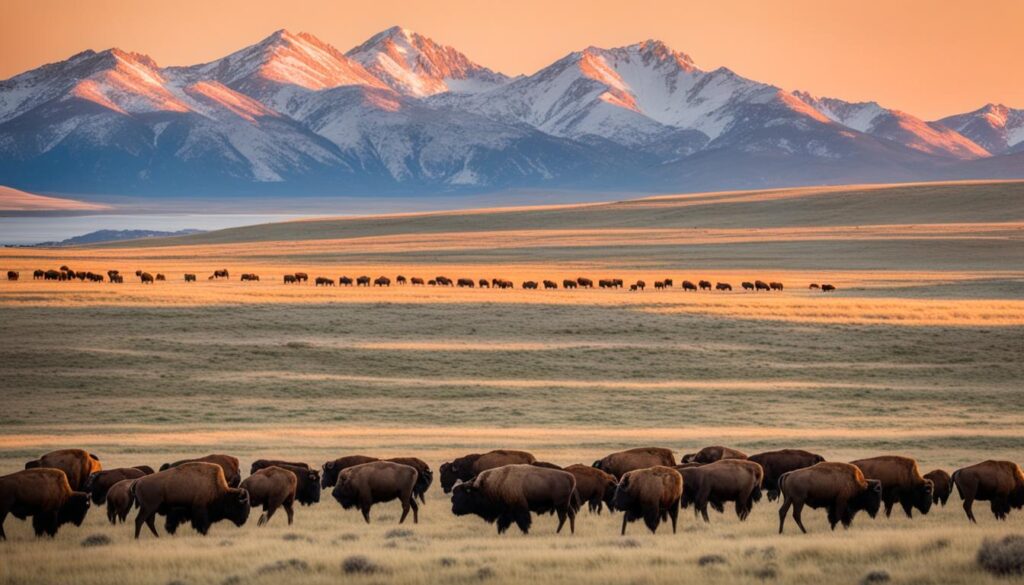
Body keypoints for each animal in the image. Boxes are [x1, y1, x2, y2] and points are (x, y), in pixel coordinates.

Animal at [452, 463, 581, 536]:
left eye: (462, 494)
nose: (453, 509)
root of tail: (571, 477)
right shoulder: (506, 512)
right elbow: (502, 523)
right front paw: (501, 533)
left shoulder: (519, 509)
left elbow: (523, 522)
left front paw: (526, 533)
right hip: (566, 504)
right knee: (571, 515)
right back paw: (571, 532)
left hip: (560, 504)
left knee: (563, 517)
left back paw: (557, 532)